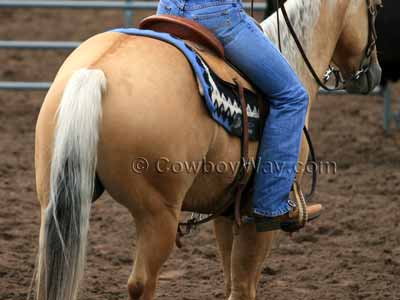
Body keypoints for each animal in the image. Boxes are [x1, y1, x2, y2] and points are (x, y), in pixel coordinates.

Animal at [33, 0, 382, 298]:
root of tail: (96, 72)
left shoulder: (226, 210)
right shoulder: (257, 218)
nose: (374, 74)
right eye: (376, 8)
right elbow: (244, 287)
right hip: (158, 215)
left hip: (54, 203)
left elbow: (230, 280)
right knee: (141, 284)